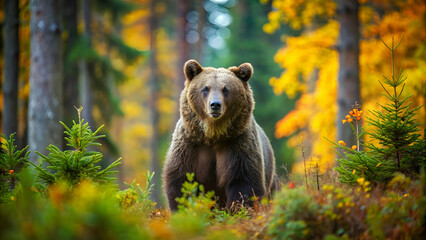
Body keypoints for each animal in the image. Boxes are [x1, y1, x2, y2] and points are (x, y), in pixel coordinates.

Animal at [161, 59, 278, 210]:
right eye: (205, 88)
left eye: (226, 89)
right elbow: (181, 180)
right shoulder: (190, 146)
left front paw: (236, 209)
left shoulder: (238, 145)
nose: (215, 105)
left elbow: (244, 183)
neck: (213, 134)